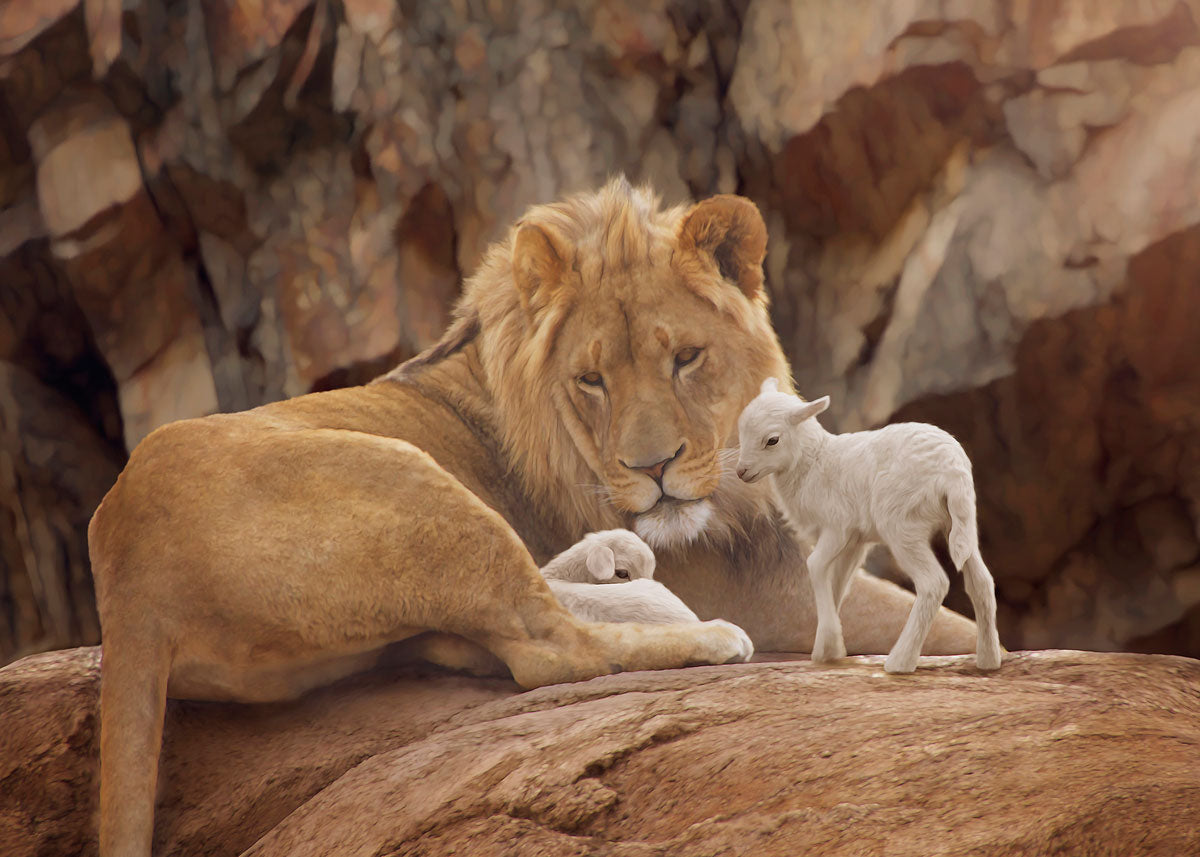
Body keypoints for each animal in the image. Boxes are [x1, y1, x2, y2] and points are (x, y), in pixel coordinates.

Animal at [735, 378, 1002, 673]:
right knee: (981, 582)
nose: (741, 472)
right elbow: (838, 583)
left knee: (933, 583)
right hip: (960, 523)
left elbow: (815, 566)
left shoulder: (837, 527)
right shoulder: (855, 541)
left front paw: (829, 644)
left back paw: (900, 661)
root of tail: (952, 471)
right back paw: (988, 660)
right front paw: (827, 648)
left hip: (901, 525)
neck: (813, 463)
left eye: (772, 440)